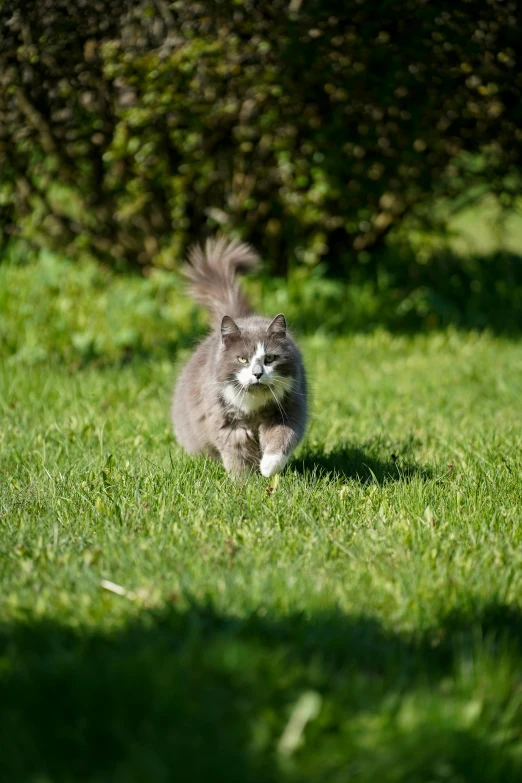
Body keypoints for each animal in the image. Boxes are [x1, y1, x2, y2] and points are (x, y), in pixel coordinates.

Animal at [173, 236, 306, 474]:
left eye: (270, 358)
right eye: (242, 359)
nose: (257, 374)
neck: (254, 408)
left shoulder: (288, 410)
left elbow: (281, 438)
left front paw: (267, 468)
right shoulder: (228, 425)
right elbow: (238, 457)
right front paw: (244, 481)